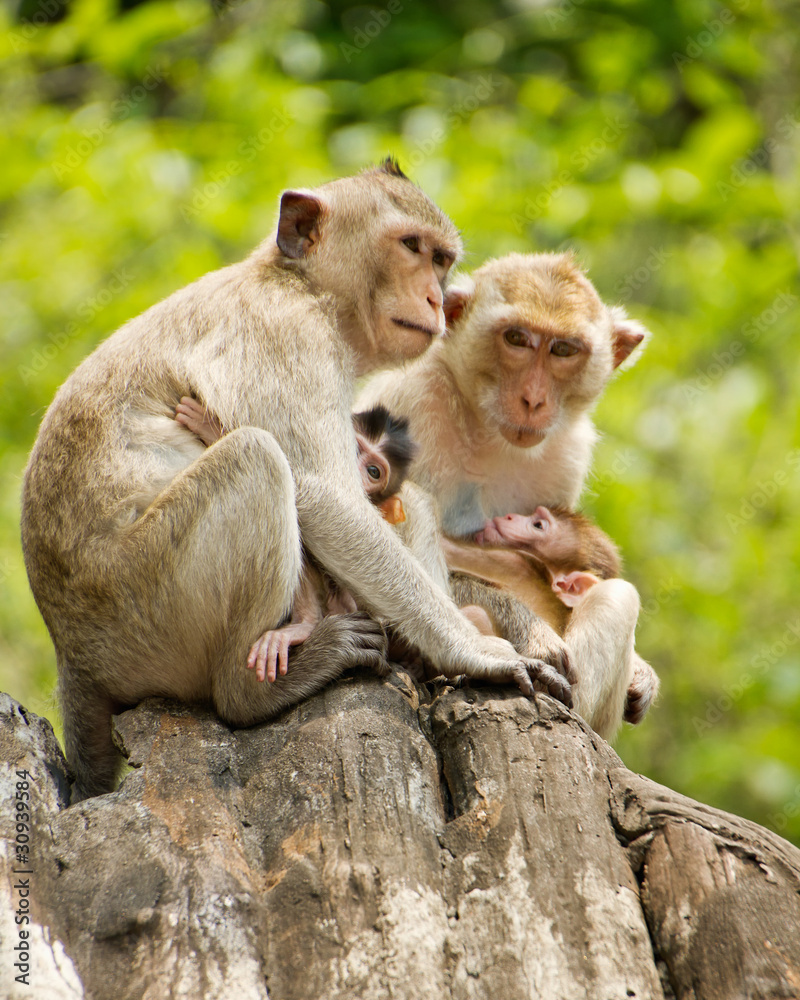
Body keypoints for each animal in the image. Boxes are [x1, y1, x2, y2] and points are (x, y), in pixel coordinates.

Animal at [357, 251, 657, 734]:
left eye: (563, 350)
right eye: (516, 339)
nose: (533, 400)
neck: (485, 426)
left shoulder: (568, 452)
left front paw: (643, 673)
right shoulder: (412, 401)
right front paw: (531, 629)